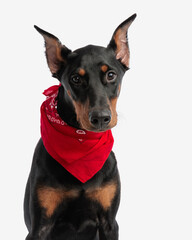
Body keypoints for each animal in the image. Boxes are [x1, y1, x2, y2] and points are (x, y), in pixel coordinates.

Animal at [24, 14, 136, 239]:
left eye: (111, 75)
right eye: (75, 78)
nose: (100, 118)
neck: (81, 144)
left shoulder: (109, 223)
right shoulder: (39, 227)